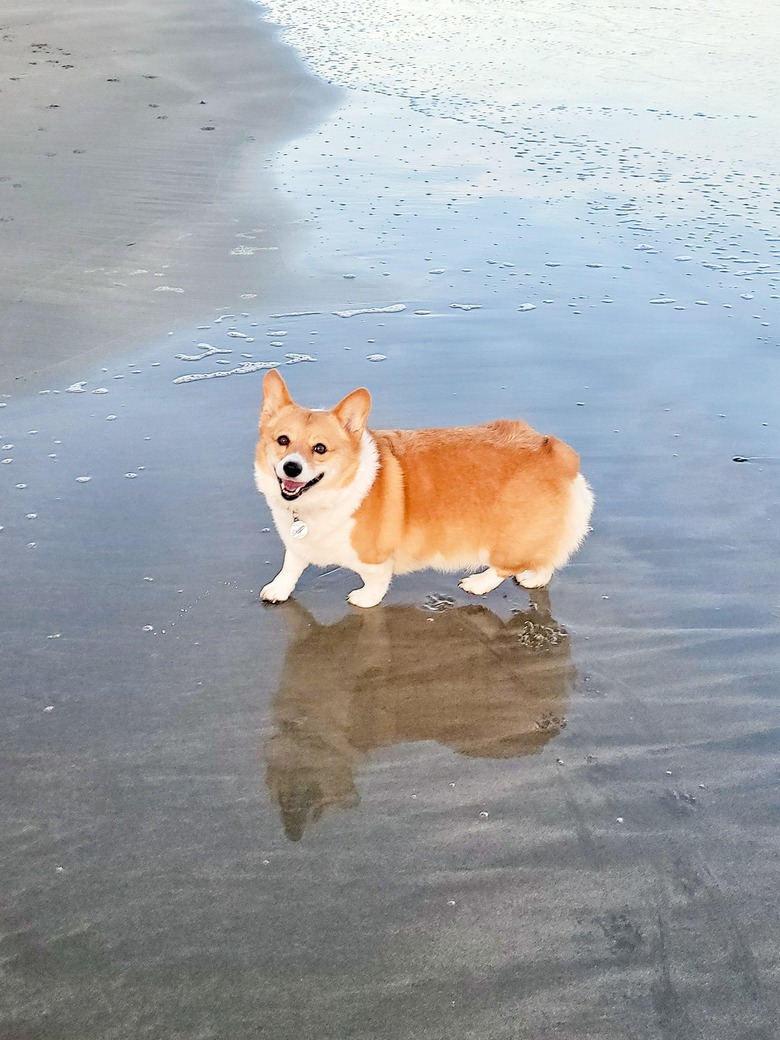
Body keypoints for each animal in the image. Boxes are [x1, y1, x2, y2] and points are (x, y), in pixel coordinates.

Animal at [253, 370, 594, 607]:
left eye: (320, 448)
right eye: (283, 440)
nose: (291, 468)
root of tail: (557, 452)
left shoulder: (376, 560)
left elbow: (374, 582)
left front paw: (364, 599)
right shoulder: (299, 545)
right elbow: (291, 565)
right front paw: (277, 590)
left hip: (510, 538)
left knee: (506, 566)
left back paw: (477, 583)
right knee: (546, 562)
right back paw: (531, 579)